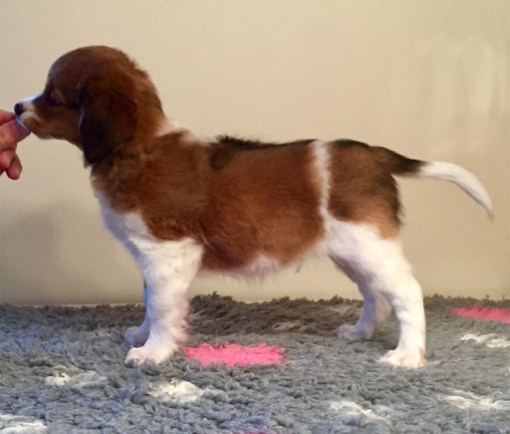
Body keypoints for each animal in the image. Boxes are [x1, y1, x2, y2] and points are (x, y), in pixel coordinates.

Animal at [14, 46, 492, 368]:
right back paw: (360, 333)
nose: (17, 107)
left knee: (407, 292)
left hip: (370, 246)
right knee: (376, 294)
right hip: (353, 252)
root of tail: (374, 154)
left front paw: (153, 352)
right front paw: (142, 335)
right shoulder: (152, 258)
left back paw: (407, 355)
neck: (138, 147)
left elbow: (164, 306)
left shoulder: (168, 253)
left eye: (53, 96)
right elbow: (151, 301)